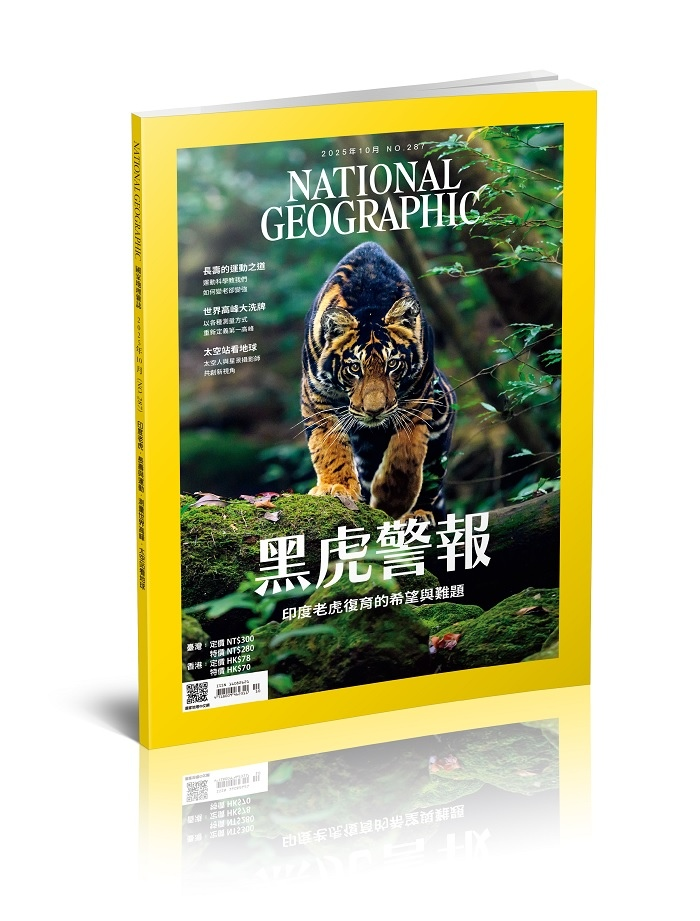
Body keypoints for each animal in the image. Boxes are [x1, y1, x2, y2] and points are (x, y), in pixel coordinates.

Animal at [301, 241, 456, 523]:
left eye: (392, 365)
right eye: (354, 368)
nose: (374, 411)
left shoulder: (419, 395)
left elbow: (407, 452)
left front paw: (393, 500)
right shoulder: (316, 395)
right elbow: (328, 445)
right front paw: (336, 487)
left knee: (431, 479)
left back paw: (417, 514)